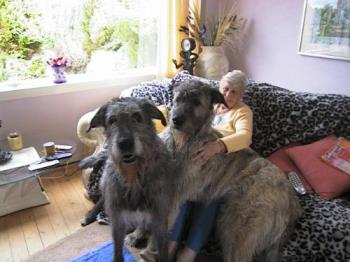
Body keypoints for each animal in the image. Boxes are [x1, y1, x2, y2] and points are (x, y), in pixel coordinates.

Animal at [85, 96, 175, 262]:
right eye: (112, 120)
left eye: (137, 117)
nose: (125, 143)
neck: (134, 176)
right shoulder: (118, 222)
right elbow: (117, 252)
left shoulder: (160, 219)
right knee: (102, 198)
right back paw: (90, 215)